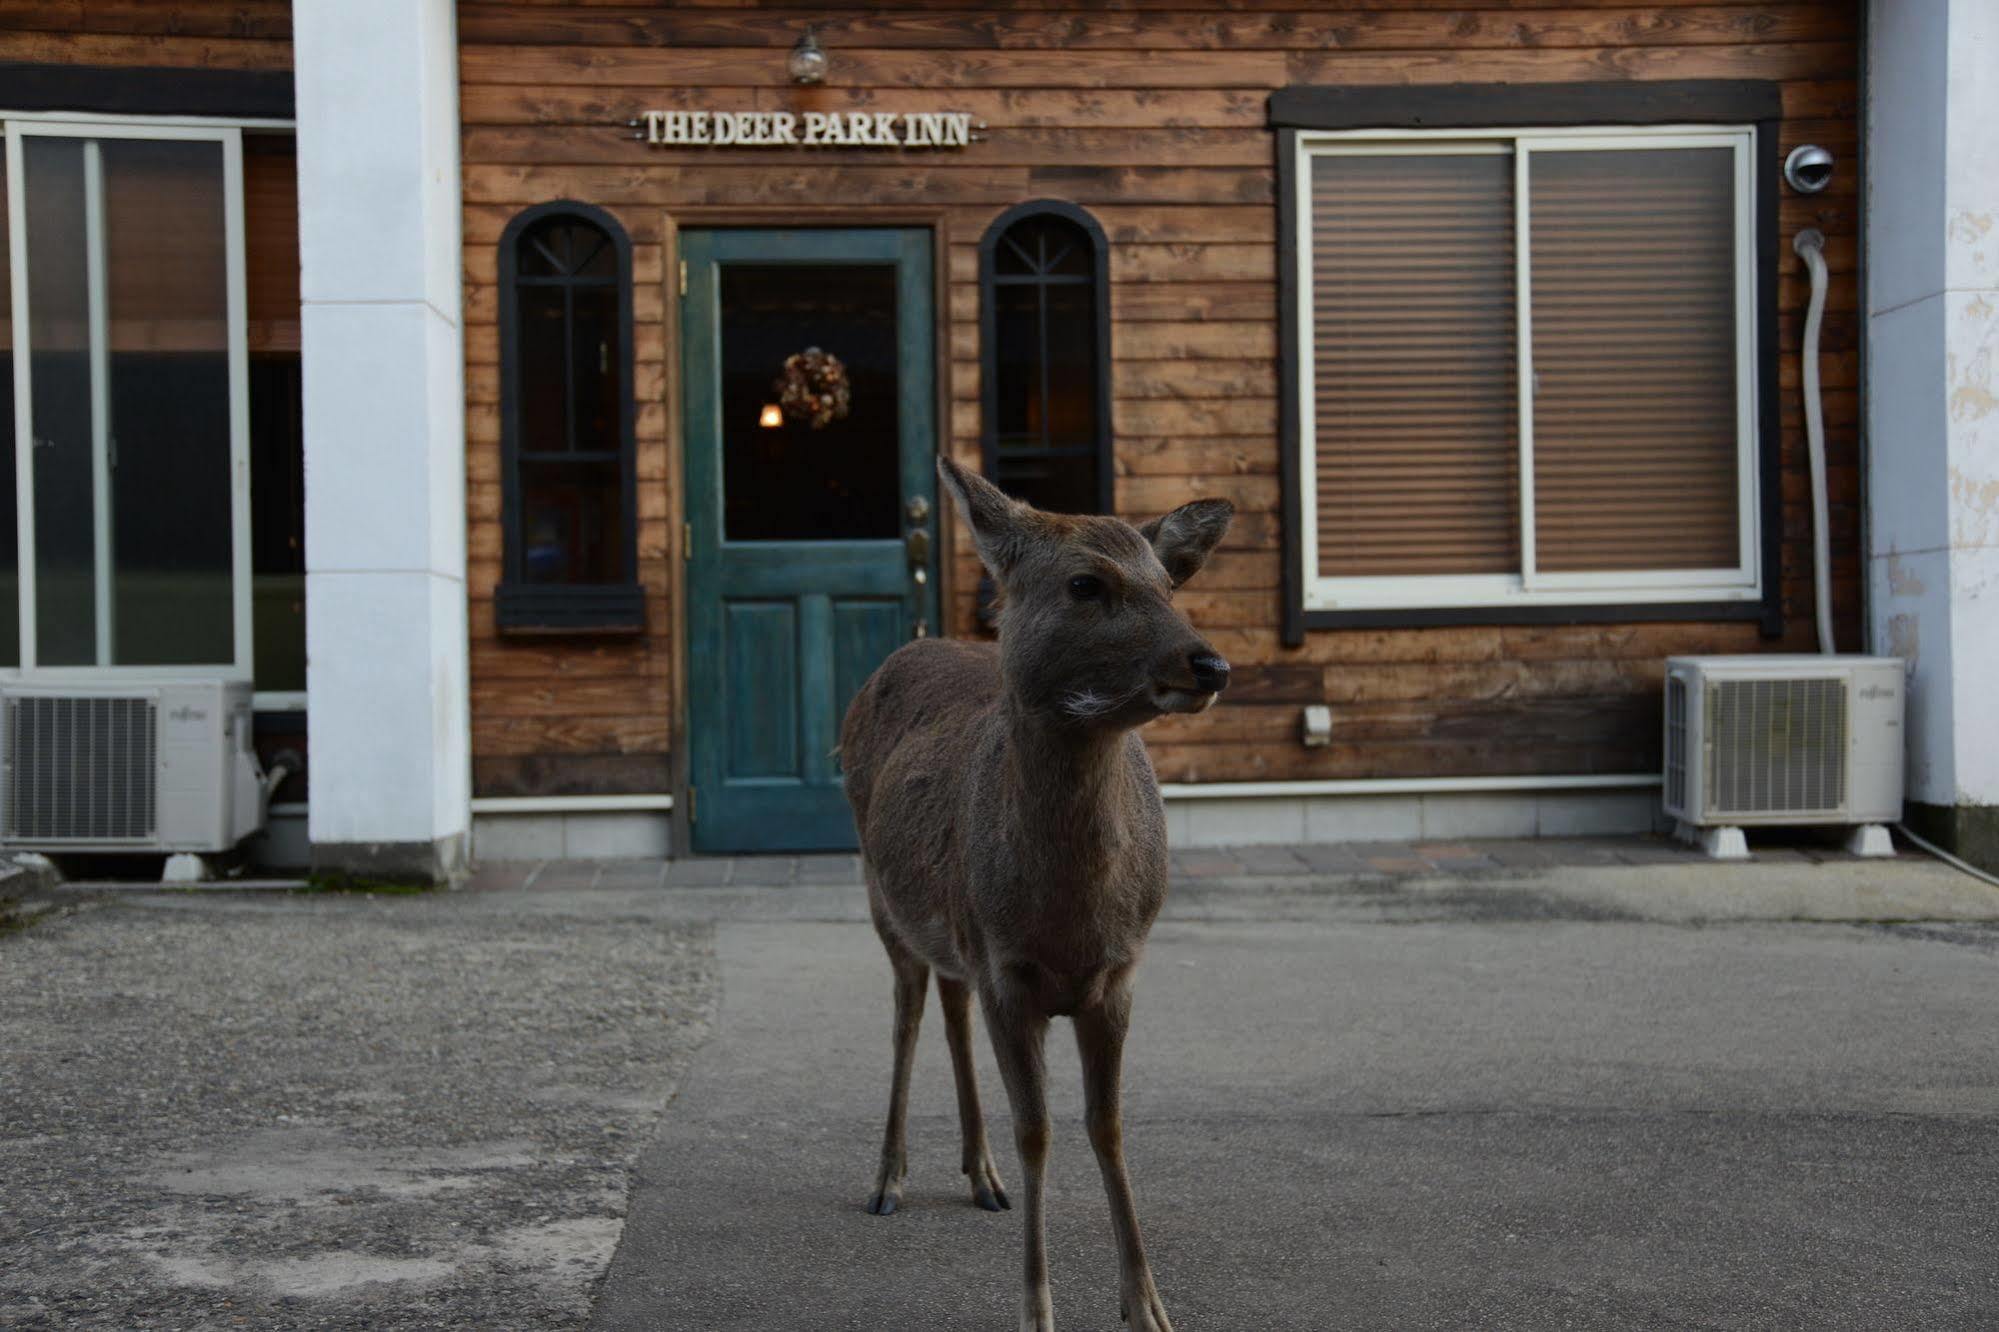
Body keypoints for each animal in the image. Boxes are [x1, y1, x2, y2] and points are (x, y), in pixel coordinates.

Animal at [835, 456, 1223, 1328]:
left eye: (1167, 584)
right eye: (1086, 583)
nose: (1210, 664)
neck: (1068, 916)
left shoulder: (1118, 970)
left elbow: (1107, 1126)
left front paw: (1147, 1305)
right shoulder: (1007, 971)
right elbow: (1038, 1131)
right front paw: (1037, 1310)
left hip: (951, 930)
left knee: (949, 1007)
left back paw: (981, 1176)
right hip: (880, 895)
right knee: (907, 1014)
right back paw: (887, 1178)